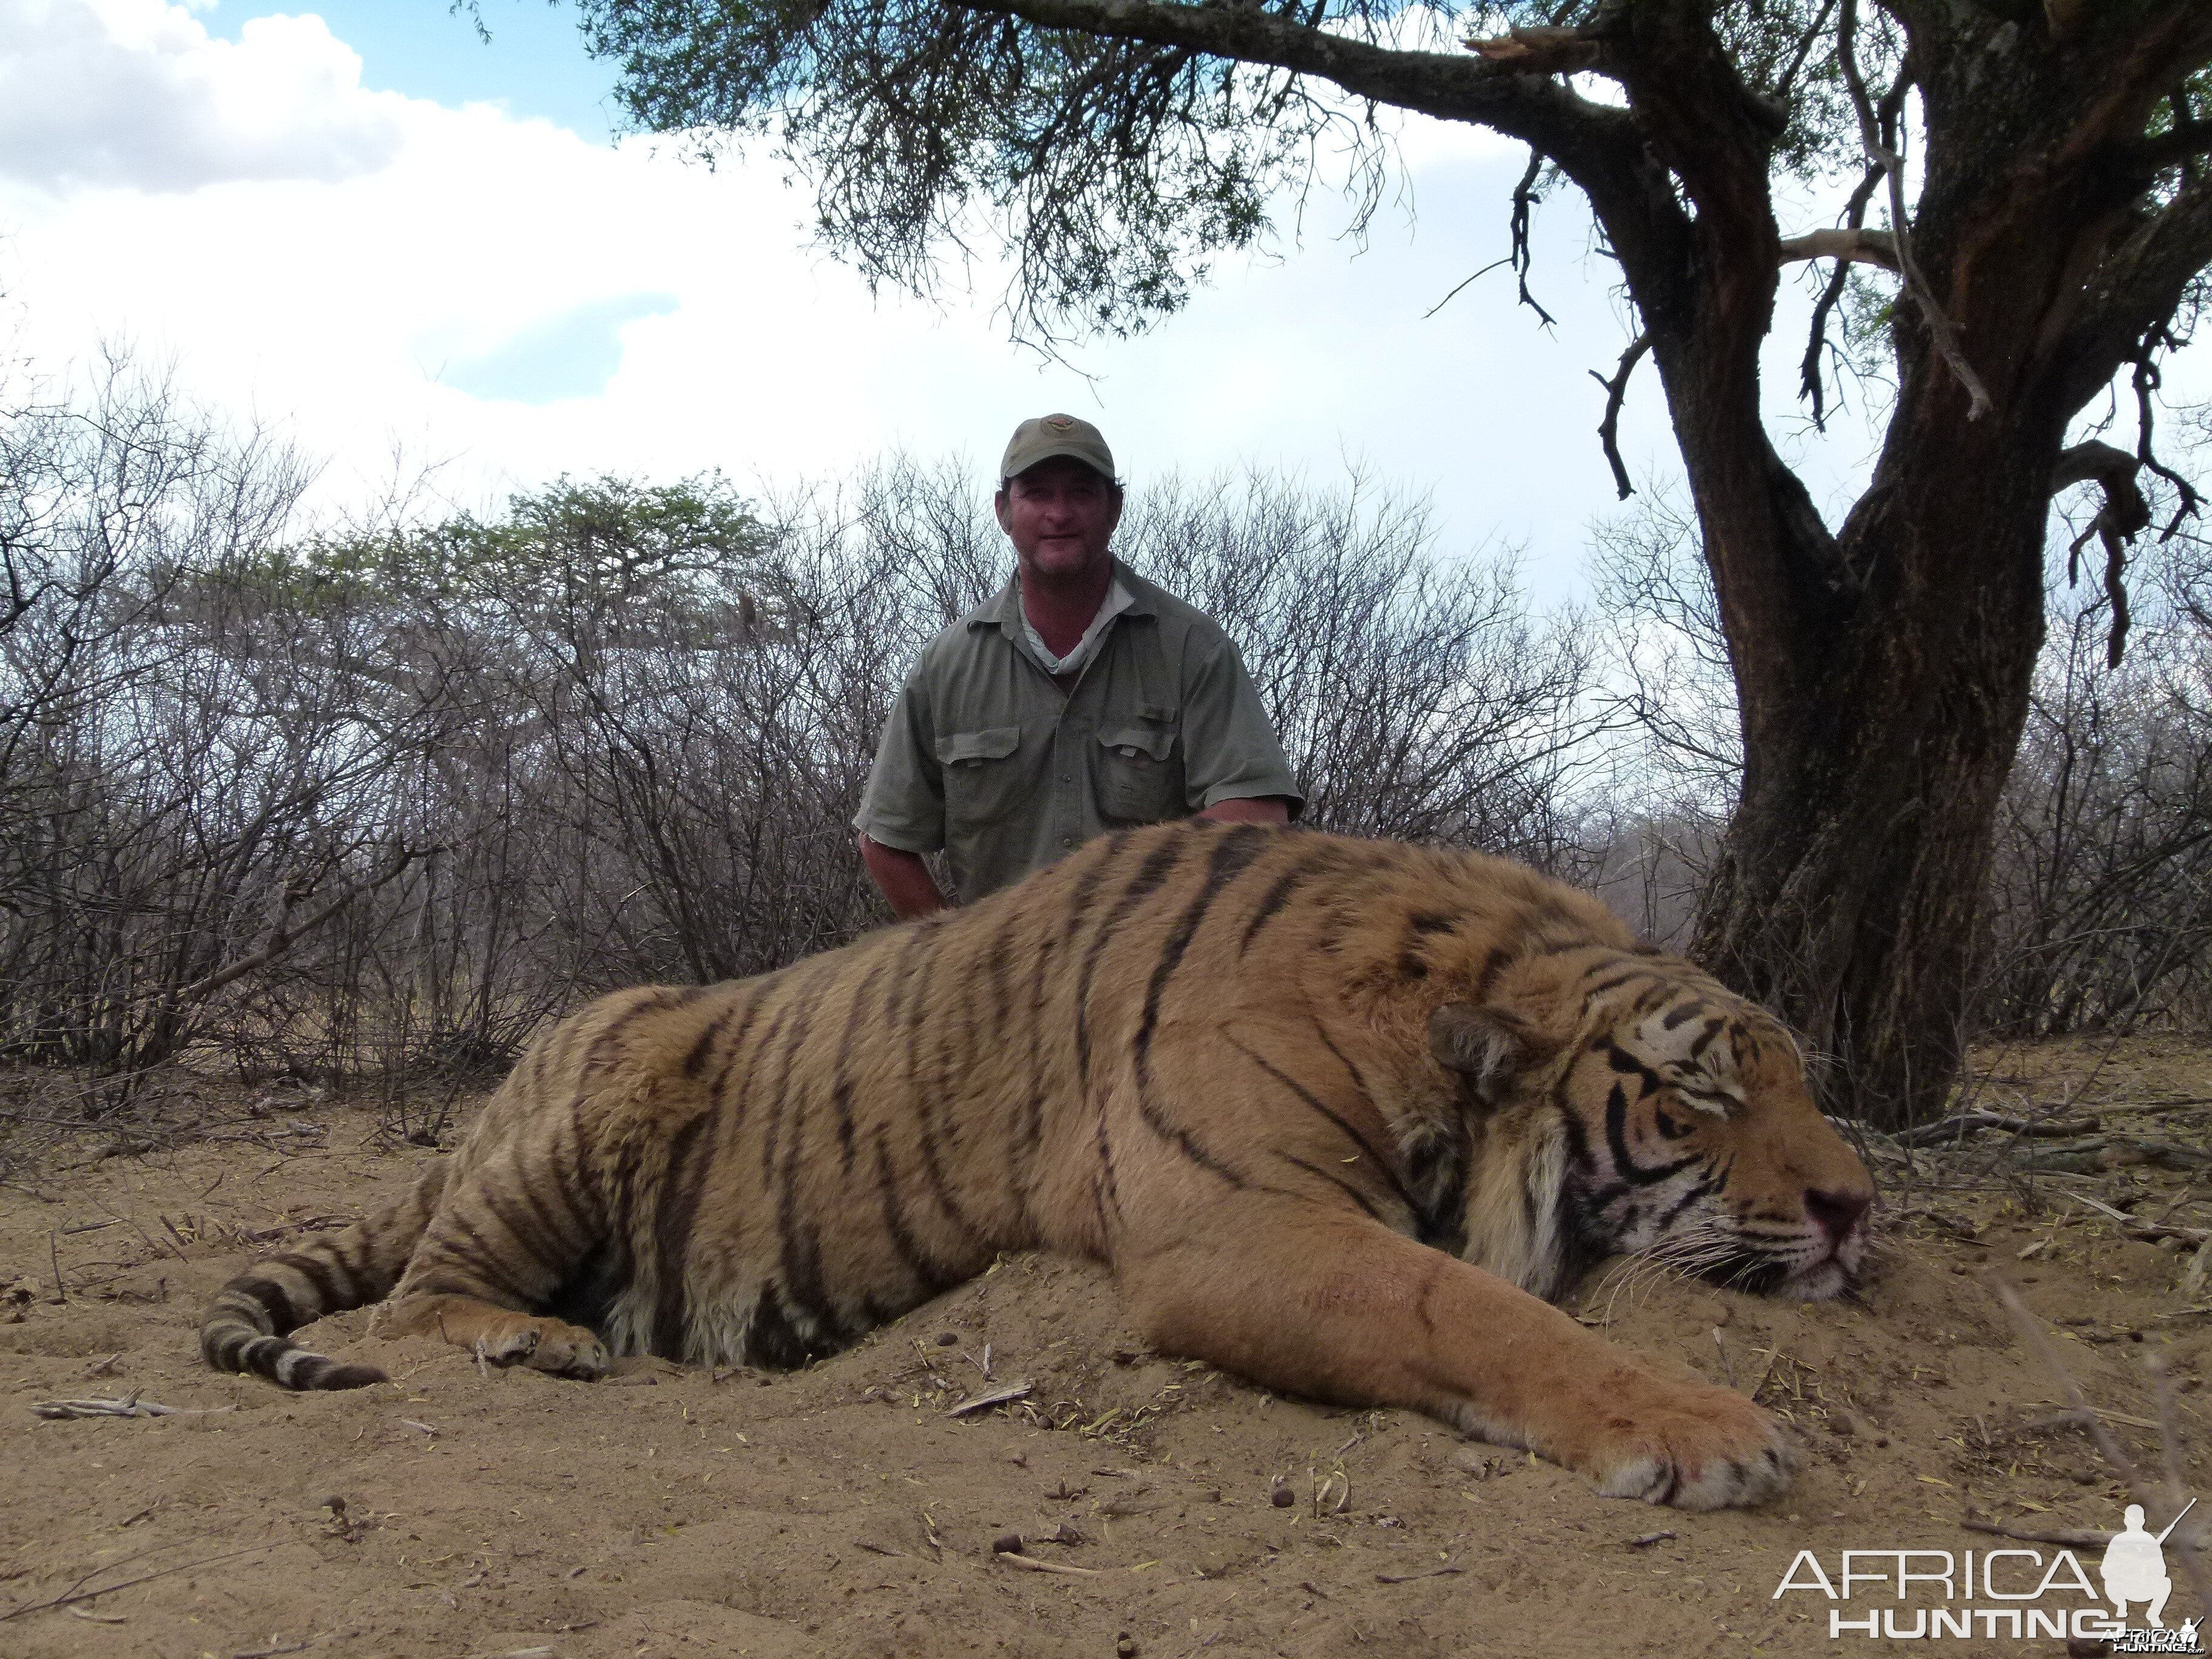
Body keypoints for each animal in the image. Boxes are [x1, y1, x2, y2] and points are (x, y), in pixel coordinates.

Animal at [199, 827, 1875, 1513]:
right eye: (1703, 1089)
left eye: (1803, 1076)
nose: (1859, 1207)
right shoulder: (1237, 1224)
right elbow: (1478, 1309)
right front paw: (1714, 1429)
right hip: (583, 1103)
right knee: (415, 1301)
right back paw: (534, 1340)